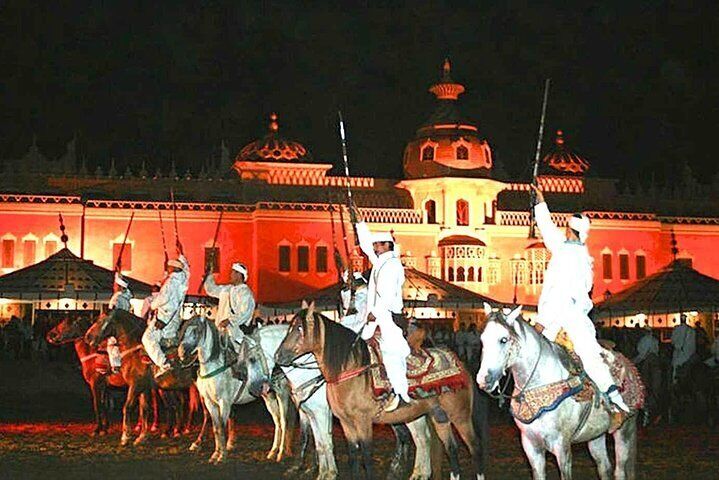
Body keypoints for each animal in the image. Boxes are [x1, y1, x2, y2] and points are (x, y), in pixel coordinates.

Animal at [86, 308, 200, 446]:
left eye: (100, 320)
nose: (87, 337)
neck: (135, 350)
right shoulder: (144, 388)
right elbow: (144, 409)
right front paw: (142, 436)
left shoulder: (135, 385)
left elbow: (127, 407)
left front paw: (125, 437)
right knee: (178, 405)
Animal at [177, 314, 296, 464]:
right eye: (183, 331)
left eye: (195, 331)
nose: (181, 353)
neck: (214, 366)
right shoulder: (210, 403)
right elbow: (216, 428)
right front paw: (215, 454)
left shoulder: (224, 402)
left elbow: (222, 427)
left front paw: (222, 456)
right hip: (268, 396)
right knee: (277, 420)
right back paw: (273, 452)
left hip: (282, 393)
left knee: (284, 421)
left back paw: (281, 453)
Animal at [276, 304, 490, 480]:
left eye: (299, 328)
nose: (279, 356)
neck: (349, 371)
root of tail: (461, 365)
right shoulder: (345, 423)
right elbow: (353, 456)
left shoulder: (363, 422)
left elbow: (366, 456)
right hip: (440, 416)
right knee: (451, 449)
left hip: (460, 415)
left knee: (475, 447)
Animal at [478, 306, 640, 478]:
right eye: (482, 339)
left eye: (503, 339)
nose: (483, 379)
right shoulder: (531, 446)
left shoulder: (562, 447)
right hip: (596, 435)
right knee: (604, 467)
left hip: (625, 431)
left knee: (620, 471)